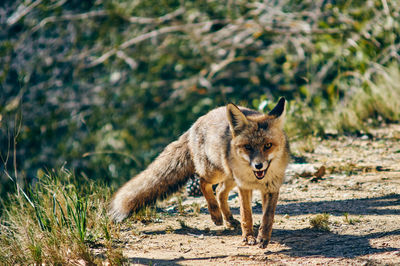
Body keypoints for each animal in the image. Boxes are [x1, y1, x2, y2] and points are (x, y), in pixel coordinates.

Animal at [108, 96, 290, 248]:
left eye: (268, 145)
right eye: (248, 147)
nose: (258, 166)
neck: (258, 180)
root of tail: (198, 120)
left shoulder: (272, 187)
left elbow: (268, 217)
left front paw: (263, 238)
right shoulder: (244, 186)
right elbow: (247, 215)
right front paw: (248, 237)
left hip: (229, 175)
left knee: (220, 192)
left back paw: (229, 219)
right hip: (216, 172)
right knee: (204, 183)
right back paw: (216, 215)